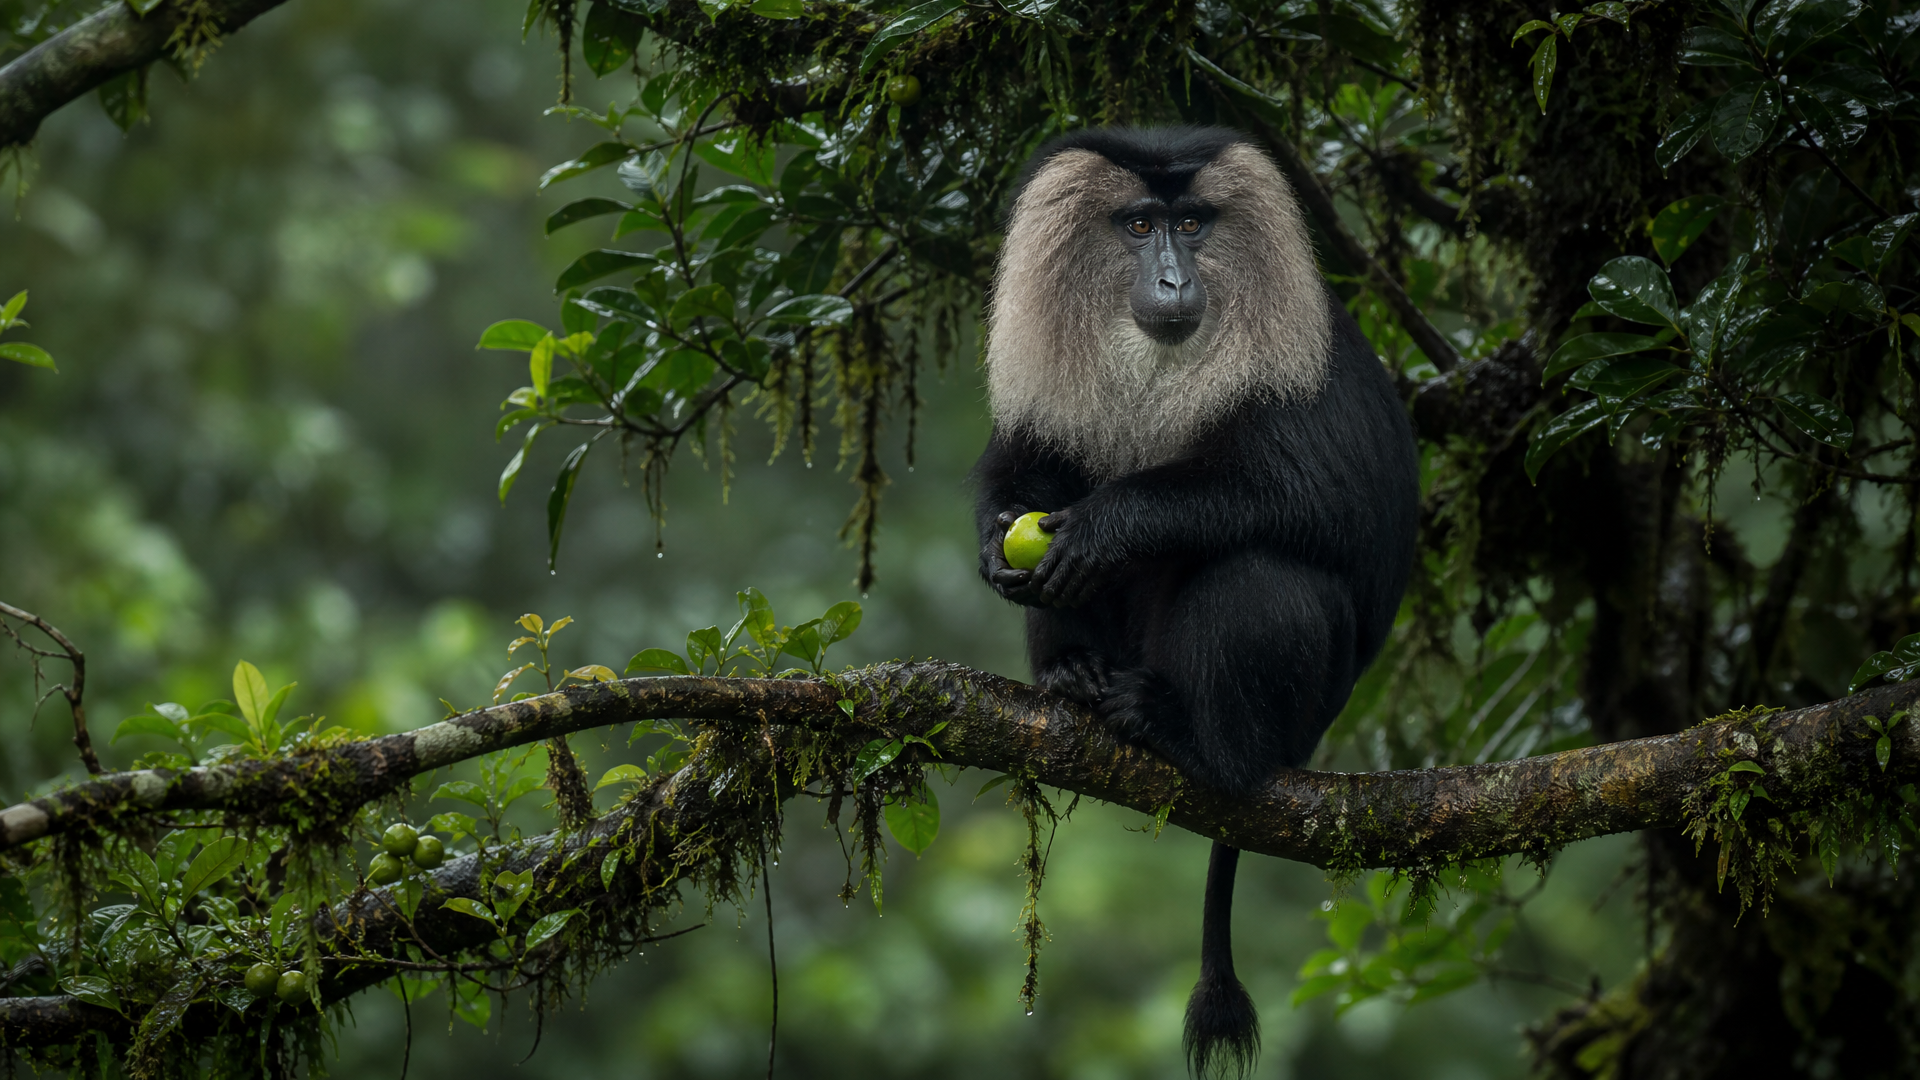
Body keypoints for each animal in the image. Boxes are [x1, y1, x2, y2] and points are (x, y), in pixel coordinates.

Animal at [971, 126, 1419, 1078]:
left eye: (1192, 224)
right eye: (1140, 225)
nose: (1175, 280)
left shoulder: (1307, 366)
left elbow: (1315, 501)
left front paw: (1112, 524)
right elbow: (1023, 461)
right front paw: (997, 543)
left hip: (1297, 714)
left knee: (1259, 572)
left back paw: (1197, 740)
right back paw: (1075, 677)